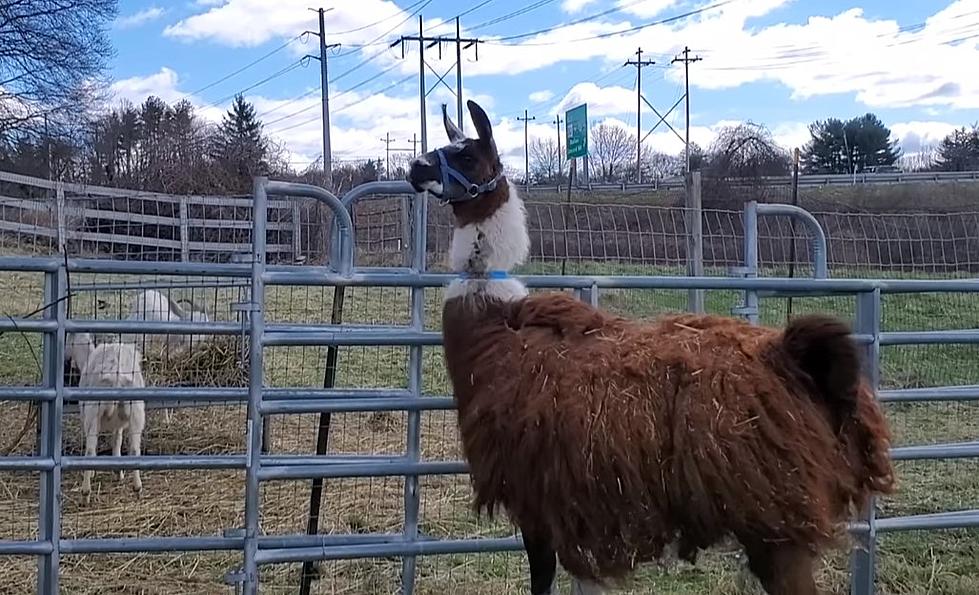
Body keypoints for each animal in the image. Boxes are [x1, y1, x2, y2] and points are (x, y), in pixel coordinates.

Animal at [66, 332, 146, 500]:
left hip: (92, 413)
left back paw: (85, 493)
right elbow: (117, 441)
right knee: (135, 449)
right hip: (136, 413)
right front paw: (118, 471)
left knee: (90, 451)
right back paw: (137, 488)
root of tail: (116, 377)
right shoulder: (119, 424)